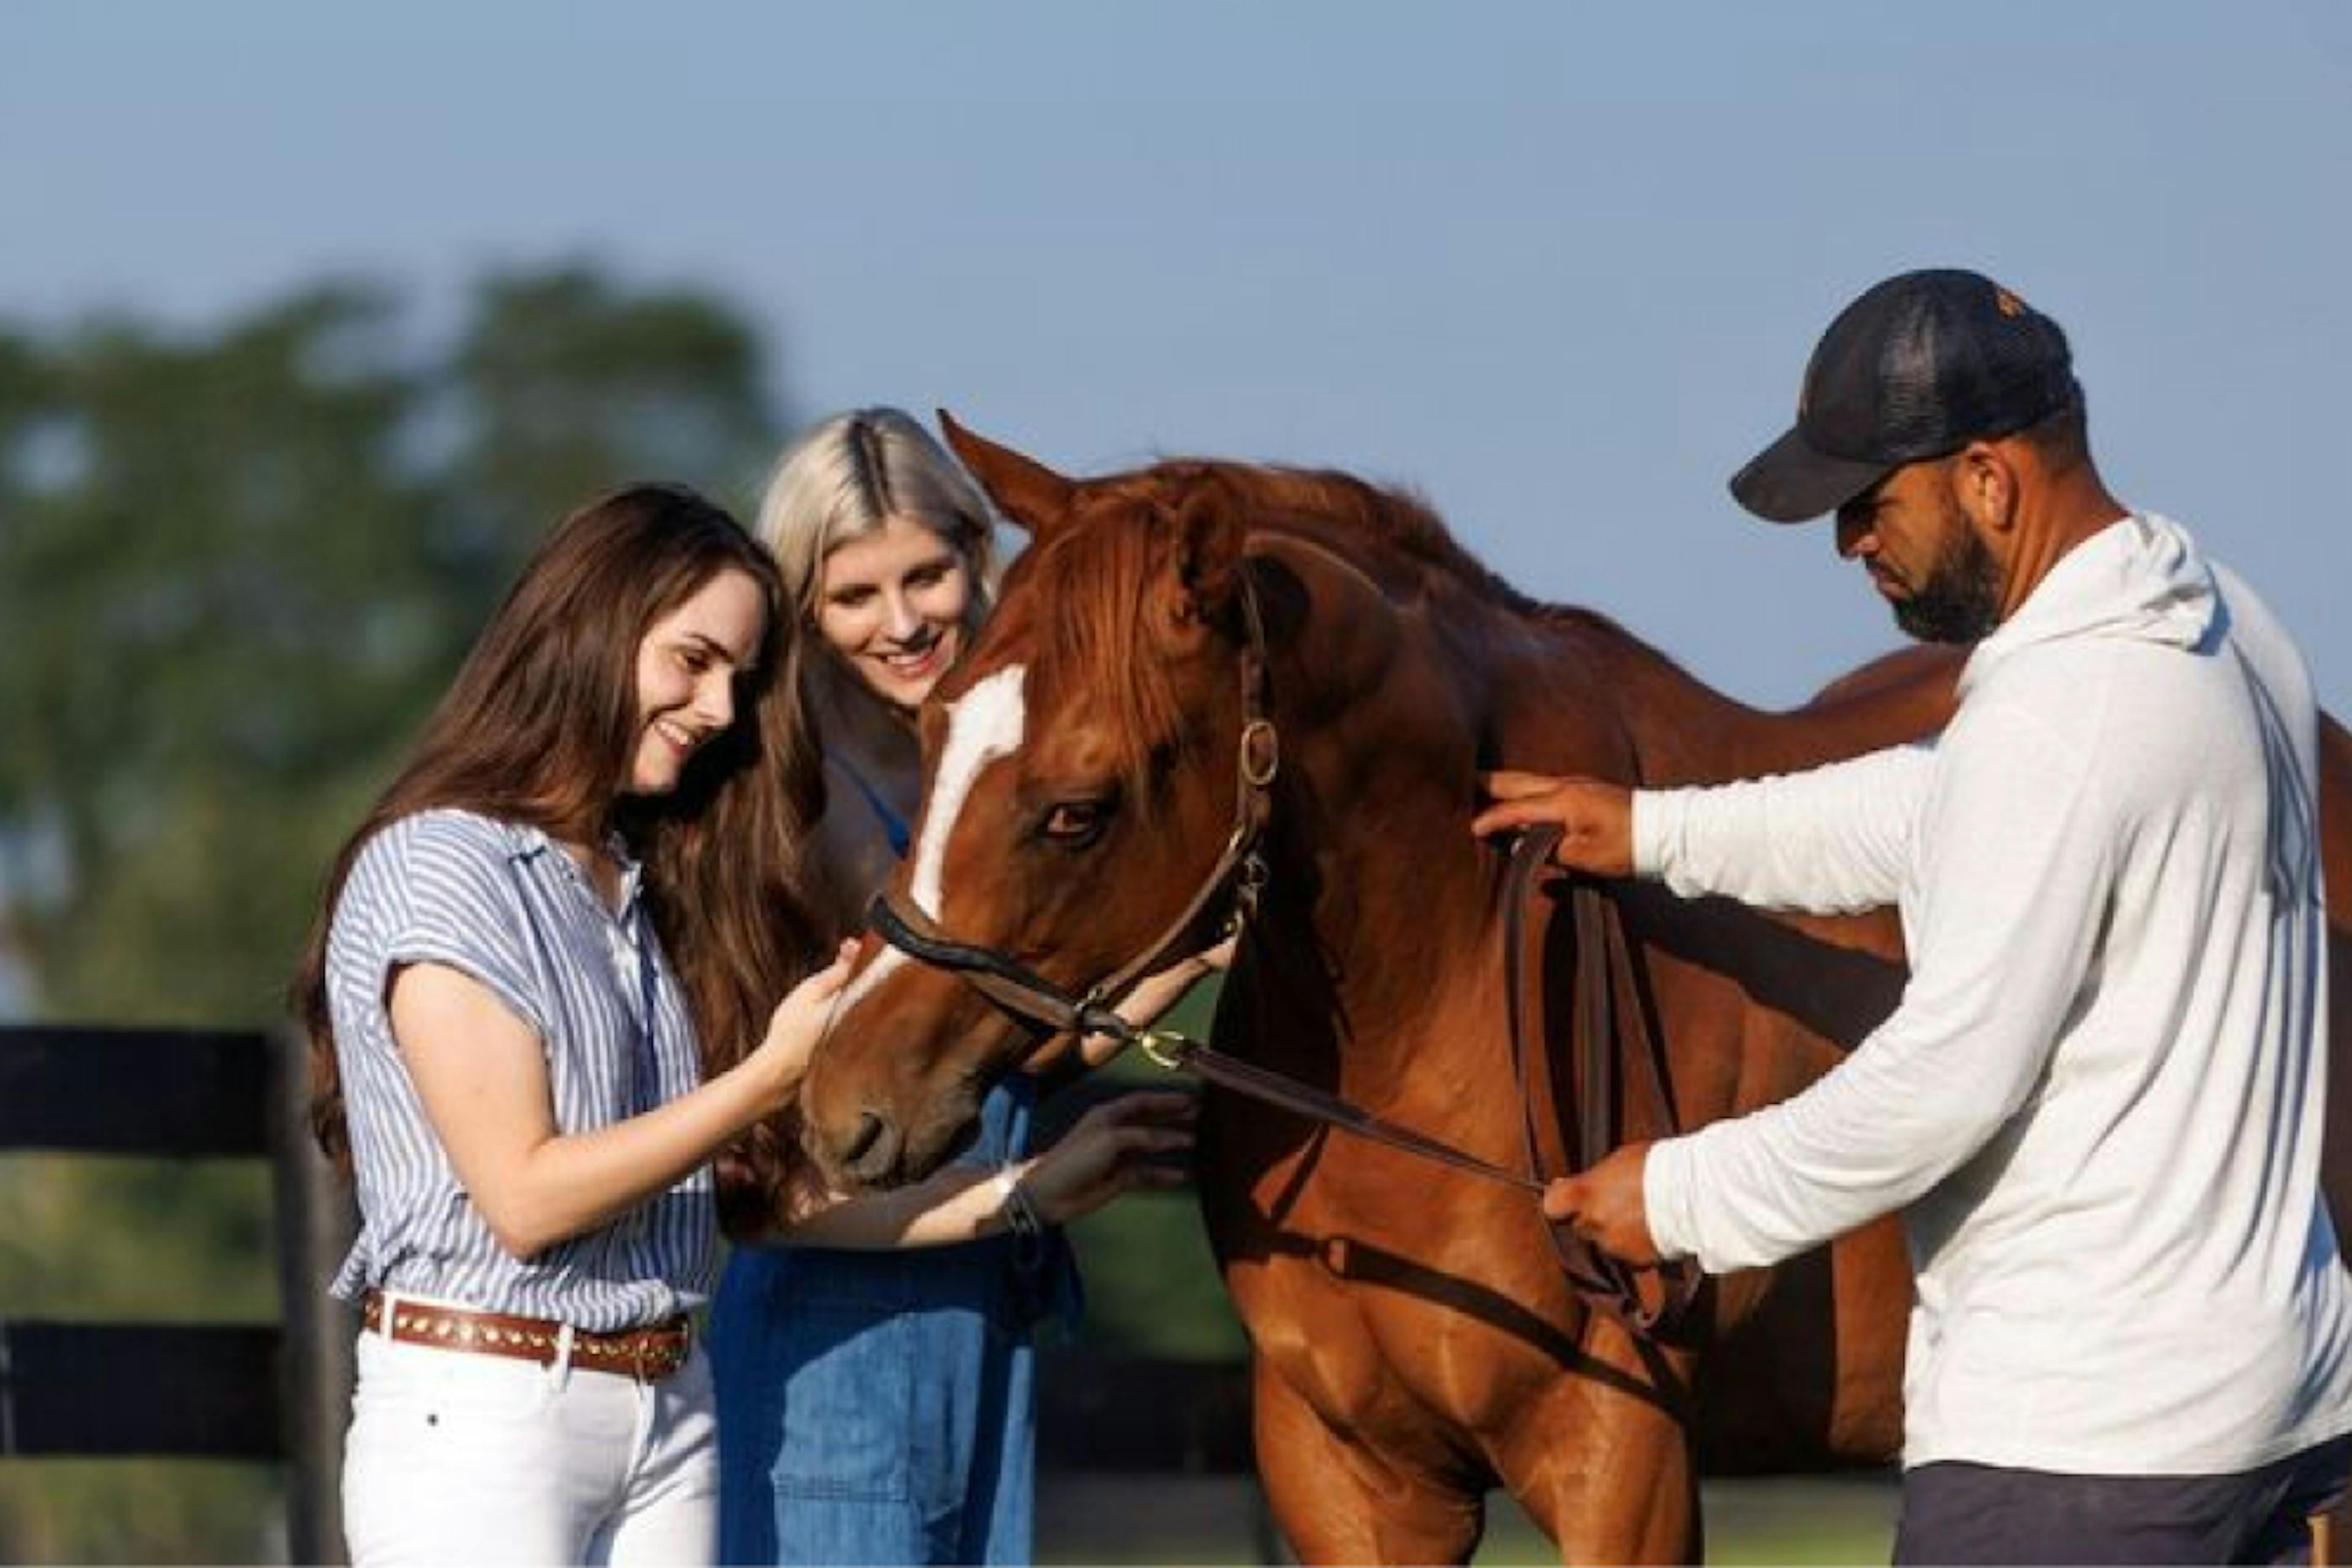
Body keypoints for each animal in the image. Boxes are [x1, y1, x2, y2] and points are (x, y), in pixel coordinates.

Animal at [804, 423, 2352, 1561]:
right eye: (932, 732)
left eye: (1079, 808)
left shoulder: (1619, 1456)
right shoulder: (1348, 1466)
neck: (1432, 1011)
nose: (841, 1105)